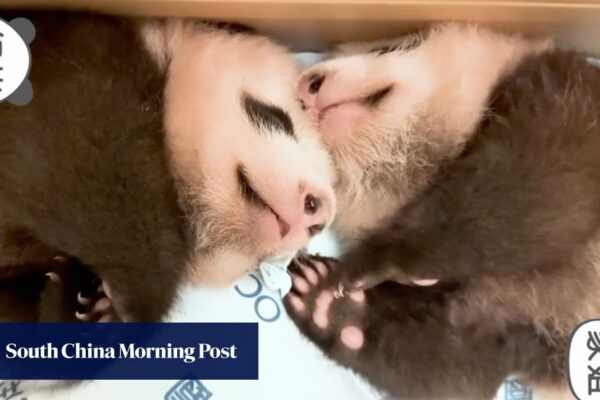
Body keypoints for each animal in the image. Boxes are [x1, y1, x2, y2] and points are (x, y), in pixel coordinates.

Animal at [0, 10, 336, 324]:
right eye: (278, 118)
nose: (317, 213)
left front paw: (84, 300)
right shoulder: (84, 68)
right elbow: (89, 159)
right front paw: (127, 303)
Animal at [284, 23, 600, 398]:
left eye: (389, 47)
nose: (308, 85)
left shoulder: (566, 91)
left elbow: (533, 181)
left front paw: (374, 262)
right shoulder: (506, 321)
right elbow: (458, 371)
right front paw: (328, 302)